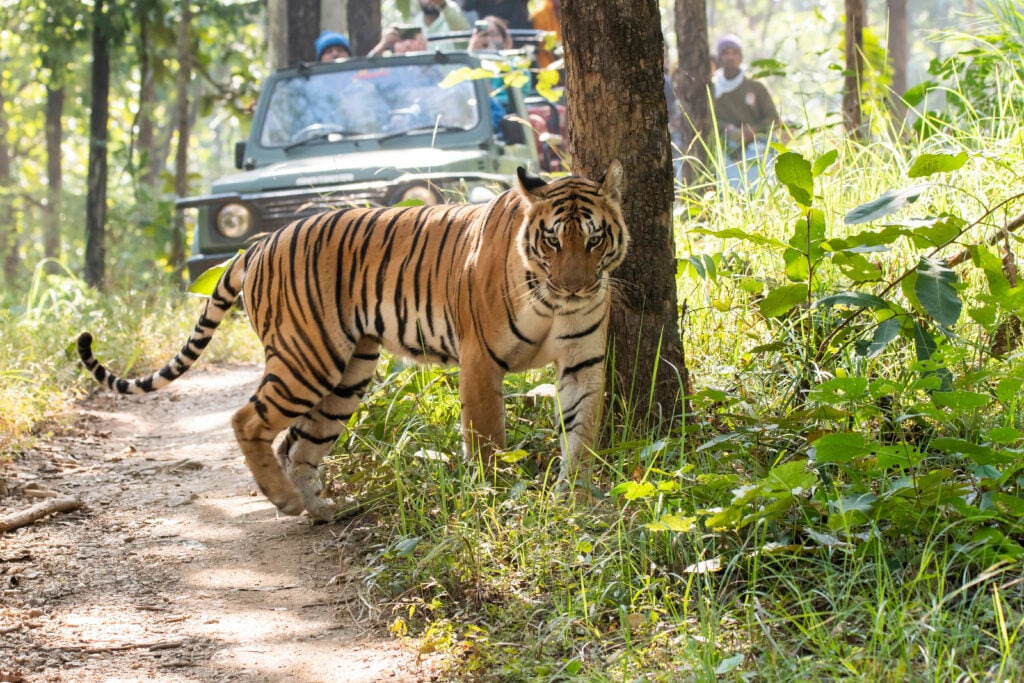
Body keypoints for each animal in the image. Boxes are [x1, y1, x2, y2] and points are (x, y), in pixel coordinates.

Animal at [75, 160, 626, 520]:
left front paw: (577, 501)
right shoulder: (480, 361)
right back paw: (286, 501)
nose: (575, 286)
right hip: (307, 358)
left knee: (300, 442)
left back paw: (319, 508)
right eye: (552, 240)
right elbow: (487, 440)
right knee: (247, 419)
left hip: (347, 374)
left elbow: (582, 432)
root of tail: (259, 244)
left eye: (593, 239)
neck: (553, 301)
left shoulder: (582, 361)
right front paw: (495, 497)